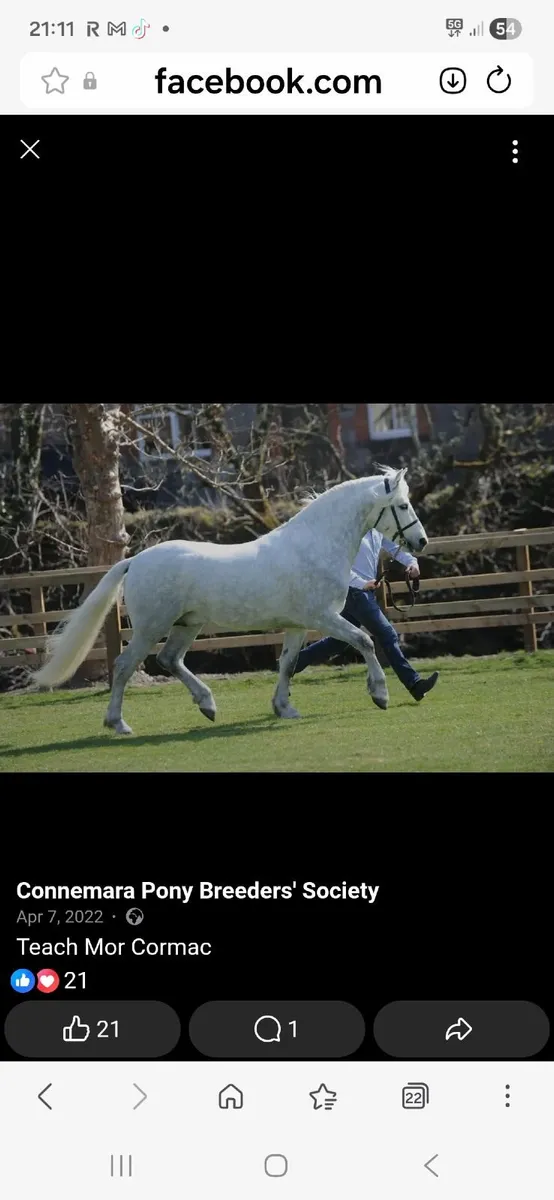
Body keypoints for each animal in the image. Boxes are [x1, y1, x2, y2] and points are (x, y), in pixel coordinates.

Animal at [33, 467, 428, 735]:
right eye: (402, 505)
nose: (422, 541)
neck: (314, 546)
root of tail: (136, 561)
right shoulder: (323, 617)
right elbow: (365, 640)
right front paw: (380, 695)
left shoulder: (298, 626)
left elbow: (287, 664)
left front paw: (284, 708)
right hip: (151, 628)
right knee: (125, 666)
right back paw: (118, 723)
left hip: (186, 625)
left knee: (169, 660)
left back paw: (207, 705)